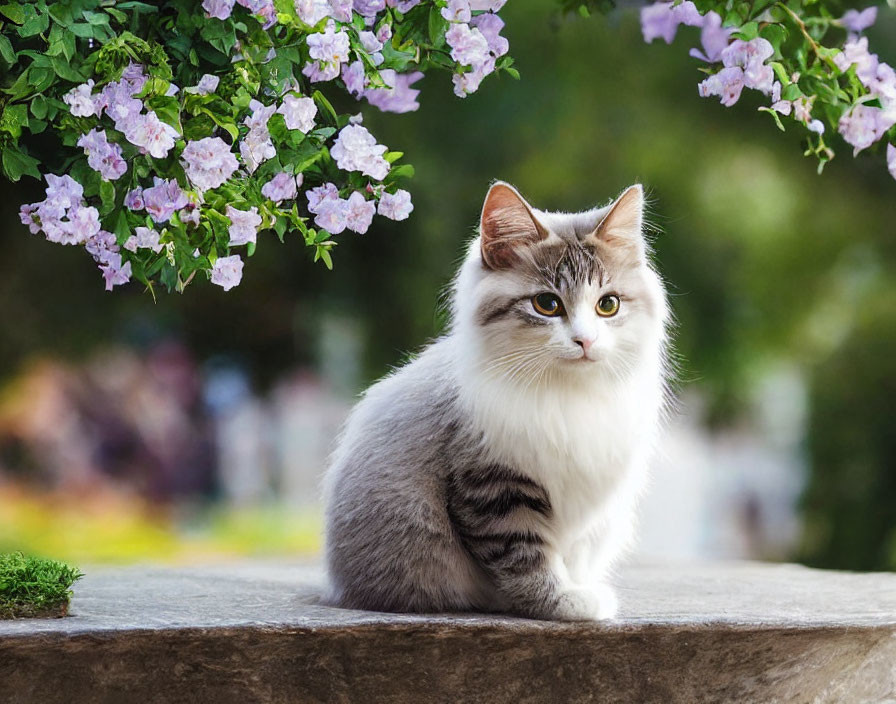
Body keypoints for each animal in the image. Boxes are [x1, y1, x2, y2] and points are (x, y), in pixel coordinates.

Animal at [322, 183, 664, 620]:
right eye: (547, 304)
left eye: (608, 305)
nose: (585, 341)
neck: (566, 393)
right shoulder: (496, 485)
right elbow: (525, 557)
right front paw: (565, 601)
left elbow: (570, 554)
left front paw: (576, 588)